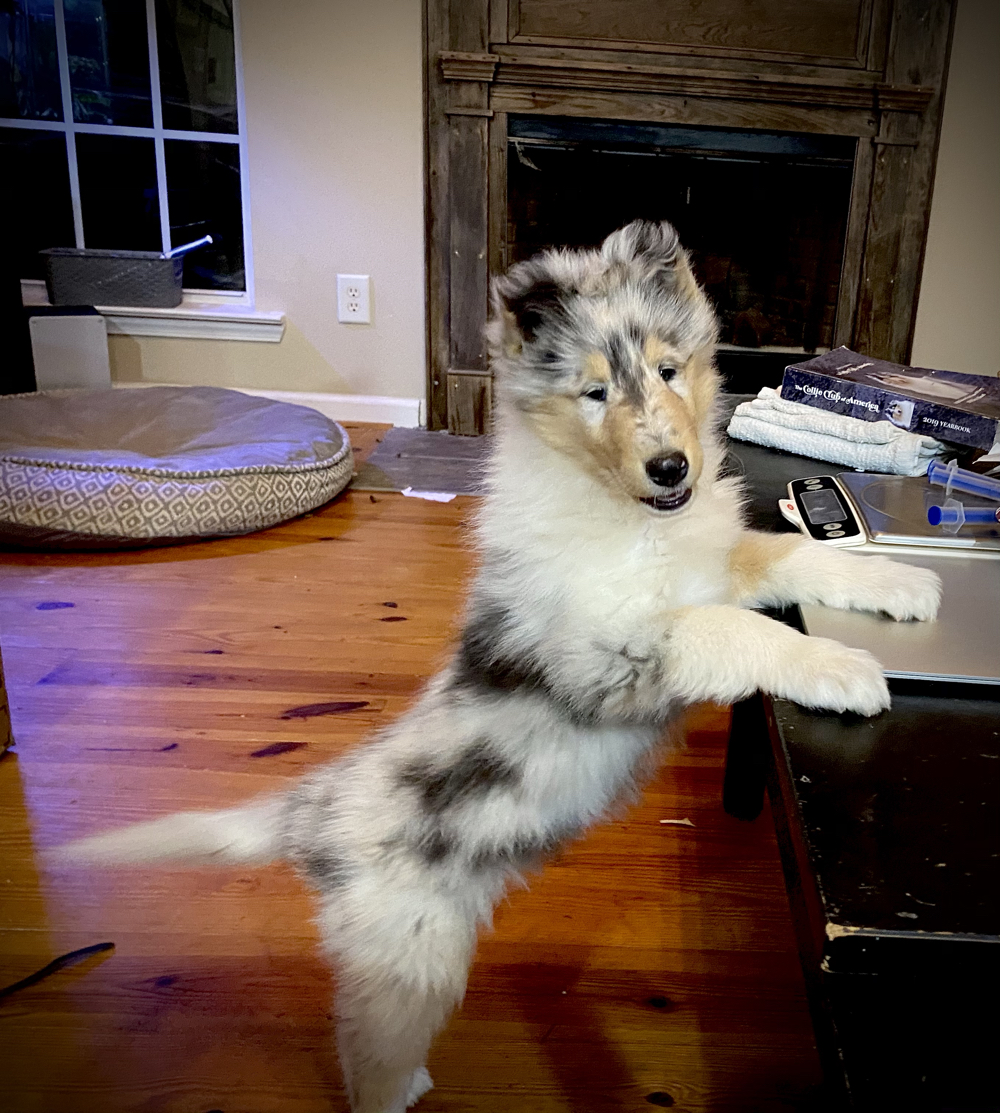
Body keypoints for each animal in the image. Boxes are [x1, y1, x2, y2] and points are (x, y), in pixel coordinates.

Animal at [54, 219, 939, 1113]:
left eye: (668, 370)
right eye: (593, 394)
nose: (672, 469)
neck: (632, 517)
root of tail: (312, 813)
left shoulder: (718, 562)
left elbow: (792, 555)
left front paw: (903, 583)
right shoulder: (610, 649)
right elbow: (730, 628)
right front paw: (844, 668)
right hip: (412, 958)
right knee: (367, 1064)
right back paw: (402, 1087)